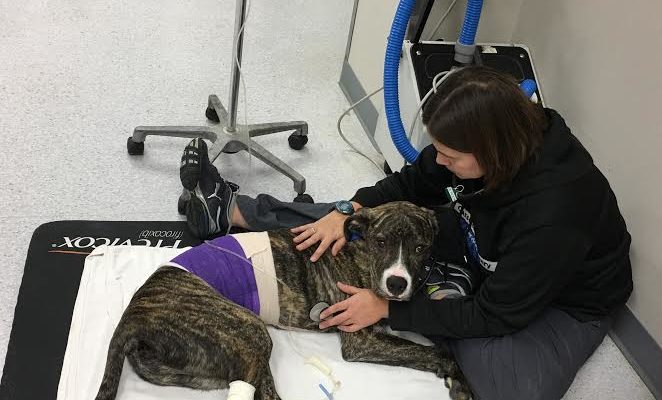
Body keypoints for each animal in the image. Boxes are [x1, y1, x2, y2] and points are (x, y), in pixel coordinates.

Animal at [96, 202, 474, 400]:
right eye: (381, 242)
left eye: (421, 247)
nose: (397, 283)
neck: (358, 251)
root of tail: (133, 314)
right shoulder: (361, 339)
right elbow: (433, 351)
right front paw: (457, 378)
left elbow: (443, 336)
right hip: (248, 330)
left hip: (196, 369)